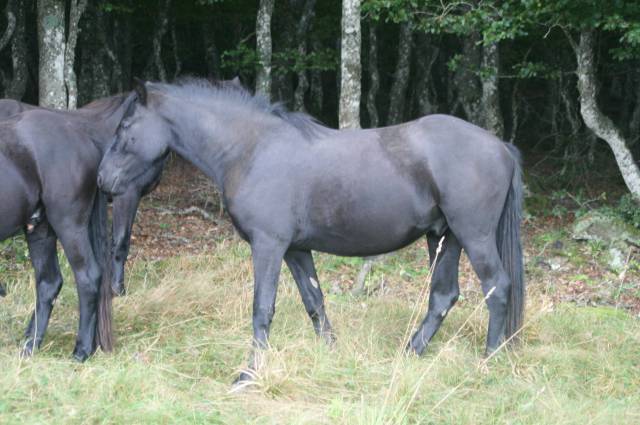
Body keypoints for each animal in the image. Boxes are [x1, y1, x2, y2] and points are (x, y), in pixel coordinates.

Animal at [0, 95, 165, 360]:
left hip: (68, 225)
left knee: (87, 277)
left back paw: (82, 350)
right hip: (41, 229)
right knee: (48, 283)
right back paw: (30, 346)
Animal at [97, 78, 525, 384]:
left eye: (125, 126)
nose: (102, 180)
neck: (252, 150)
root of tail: (500, 146)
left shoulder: (268, 246)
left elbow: (262, 308)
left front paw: (248, 374)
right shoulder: (295, 249)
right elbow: (314, 302)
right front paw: (330, 354)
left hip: (474, 236)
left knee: (497, 287)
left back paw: (488, 360)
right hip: (443, 238)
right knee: (443, 296)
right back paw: (410, 353)